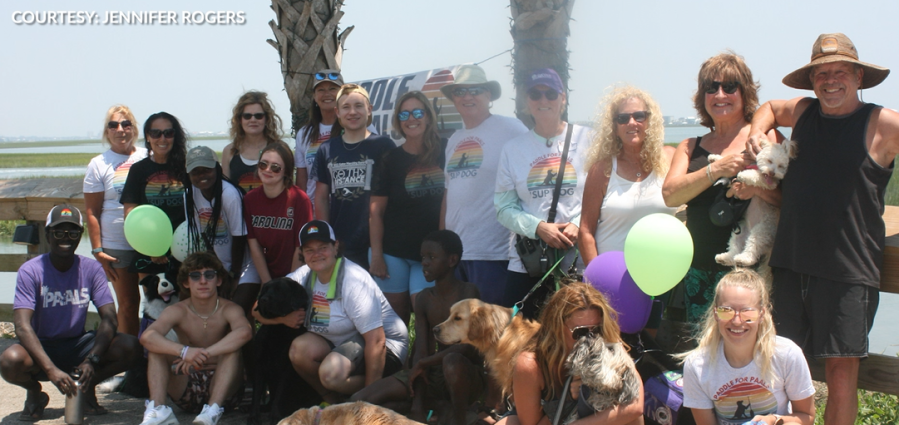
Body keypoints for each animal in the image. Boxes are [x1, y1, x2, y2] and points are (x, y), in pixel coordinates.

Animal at [251, 276, 322, 422]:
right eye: (265, 290)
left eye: (279, 290)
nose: (262, 300)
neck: (278, 328)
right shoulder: (259, 364)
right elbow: (257, 391)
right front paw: (254, 416)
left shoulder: (287, 368)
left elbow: (280, 393)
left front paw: (275, 416)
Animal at [712, 136, 796, 268]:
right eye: (769, 160)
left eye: (781, 166)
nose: (772, 173)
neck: (758, 167)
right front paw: (714, 158)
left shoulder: (771, 184)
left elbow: (757, 177)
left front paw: (745, 175)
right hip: (740, 232)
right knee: (735, 248)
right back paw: (725, 258)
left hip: (761, 232)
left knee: (752, 250)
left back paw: (744, 259)